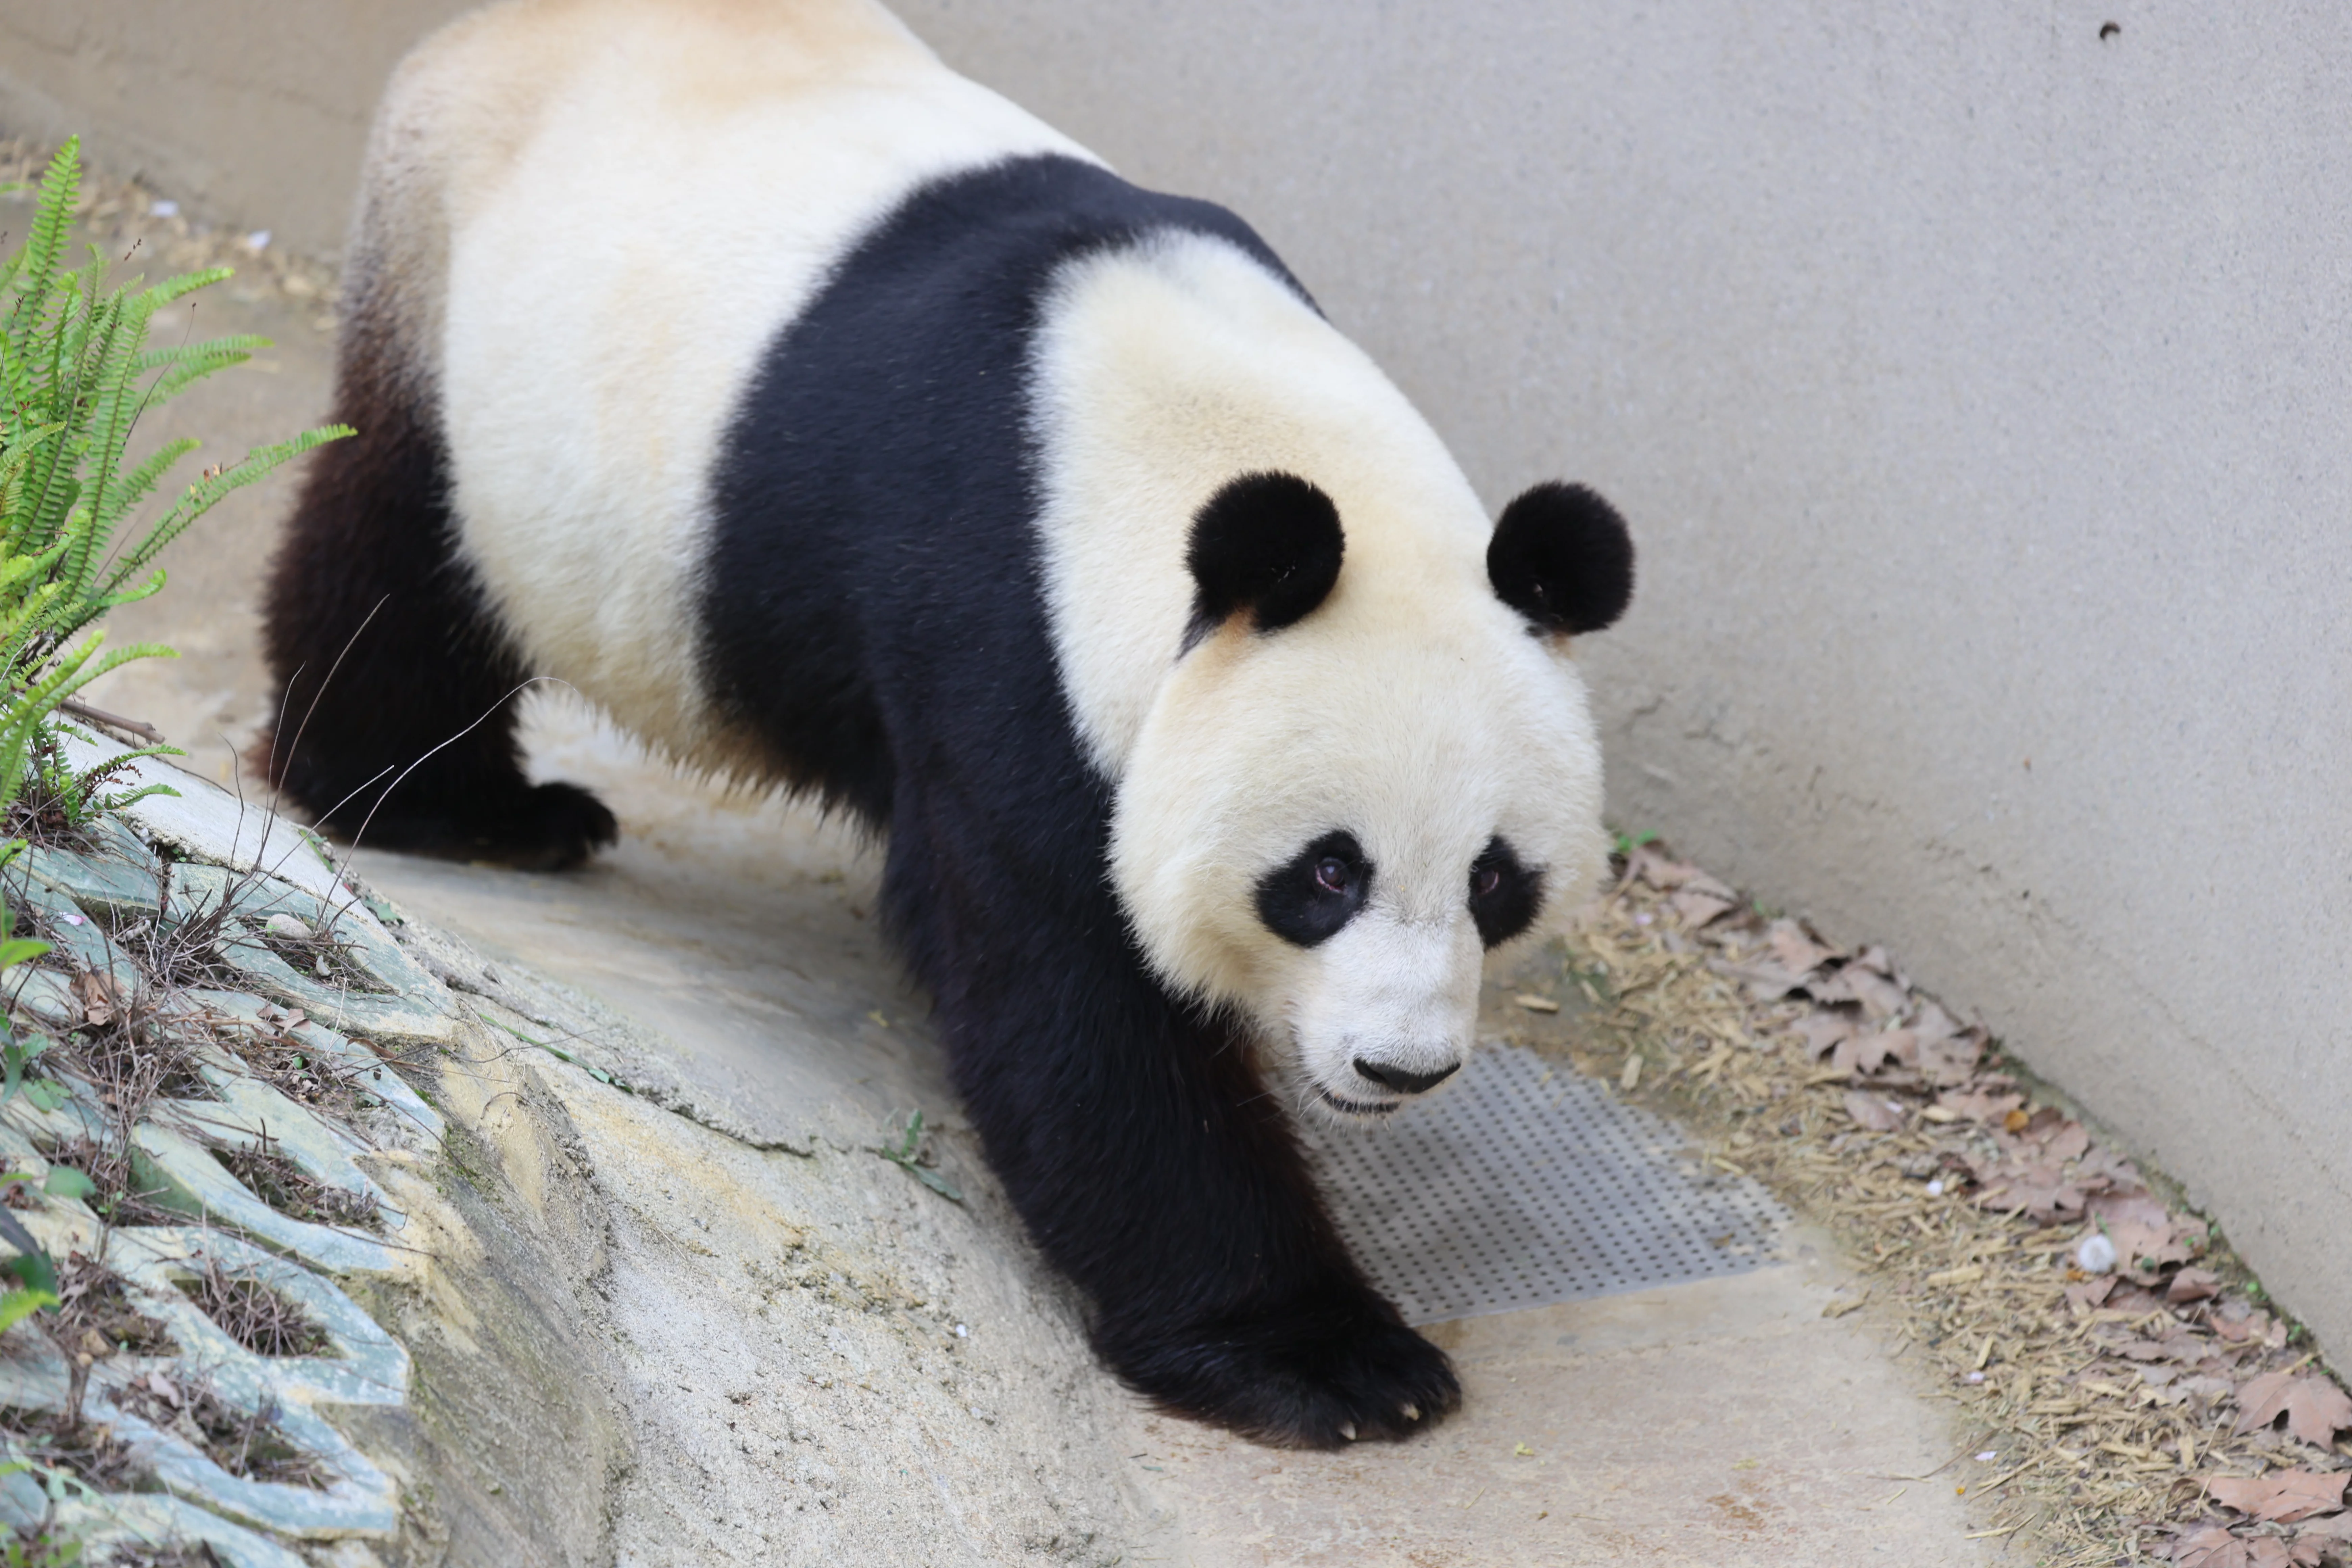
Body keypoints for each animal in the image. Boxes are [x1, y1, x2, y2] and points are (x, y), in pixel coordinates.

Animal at [262, 0, 1634, 1449]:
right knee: (403, 553)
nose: (1399, 1066)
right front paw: (1321, 1358)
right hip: (461, 310)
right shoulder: (1000, 629)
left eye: (1496, 881)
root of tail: (492, 29)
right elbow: (1072, 999)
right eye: (1324, 874)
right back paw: (447, 806)